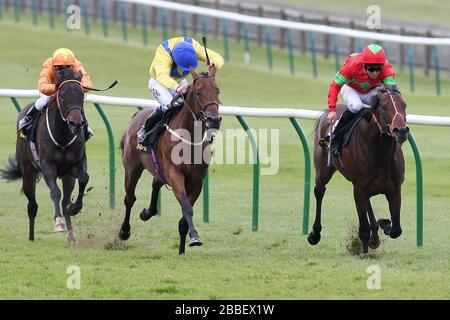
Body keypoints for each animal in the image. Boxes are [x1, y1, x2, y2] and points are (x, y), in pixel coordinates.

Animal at [119, 65, 221, 255]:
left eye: (217, 91)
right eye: (198, 92)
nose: (214, 120)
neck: (189, 138)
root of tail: (137, 115)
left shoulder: (197, 181)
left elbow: (184, 217)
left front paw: (183, 247)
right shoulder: (175, 175)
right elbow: (187, 208)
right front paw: (194, 237)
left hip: (159, 170)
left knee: (155, 184)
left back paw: (147, 212)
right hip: (132, 169)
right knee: (129, 199)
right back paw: (124, 231)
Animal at [312, 89, 410, 254]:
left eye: (404, 105)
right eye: (383, 106)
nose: (401, 131)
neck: (380, 153)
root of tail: (326, 114)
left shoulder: (395, 189)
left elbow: (396, 230)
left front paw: (384, 224)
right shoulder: (358, 189)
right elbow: (363, 228)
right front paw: (364, 250)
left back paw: (375, 234)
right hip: (323, 170)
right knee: (319, 191)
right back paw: (314, 234)